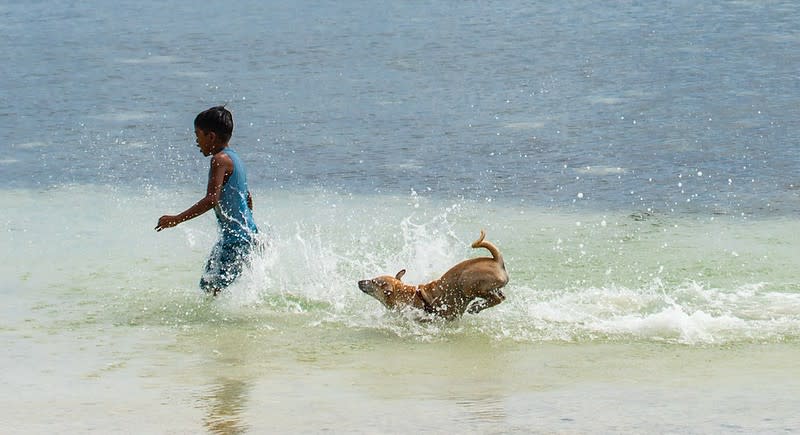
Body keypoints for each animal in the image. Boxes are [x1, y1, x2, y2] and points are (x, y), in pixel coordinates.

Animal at [360, 232, 510, 320]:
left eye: (373, 281)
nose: (359, 281)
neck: (403, 293)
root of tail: (497, 260)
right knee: (501, 297)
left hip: (468, 284)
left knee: (496, 299)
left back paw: (476, 307)